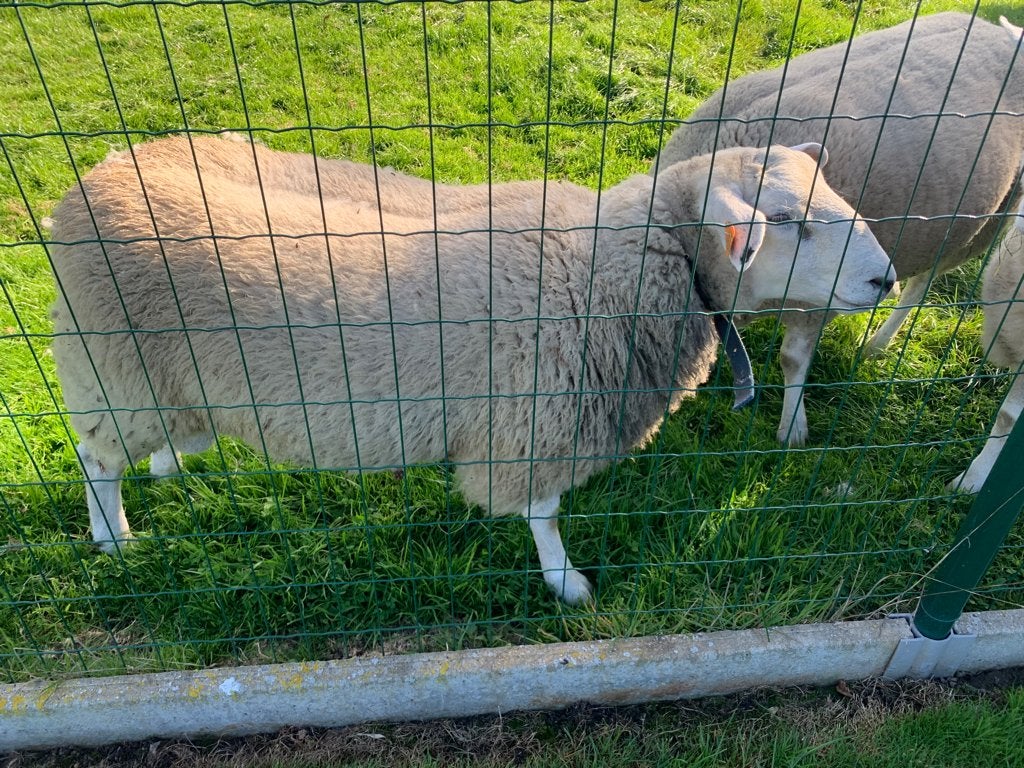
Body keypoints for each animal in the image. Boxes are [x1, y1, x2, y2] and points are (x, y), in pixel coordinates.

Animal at [49, 136, 894, 603]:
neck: (619, 259)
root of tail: (97, 176)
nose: (886, 278)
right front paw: (566, 583)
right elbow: (544, 514)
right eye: (784, 220)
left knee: (149, 446)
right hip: (111, 368)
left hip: (169, 380)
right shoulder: (534, 417)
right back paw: (114, 540)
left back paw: (168, 470)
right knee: (95, 460)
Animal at [654, 11, 1024, 446]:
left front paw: (792, 427)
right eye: (780, 219)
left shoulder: (817, 303)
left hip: (982, 226)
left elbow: (792, 358)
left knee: (921, 286)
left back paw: (878, 343)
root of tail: (998, 31)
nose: (882, 279)